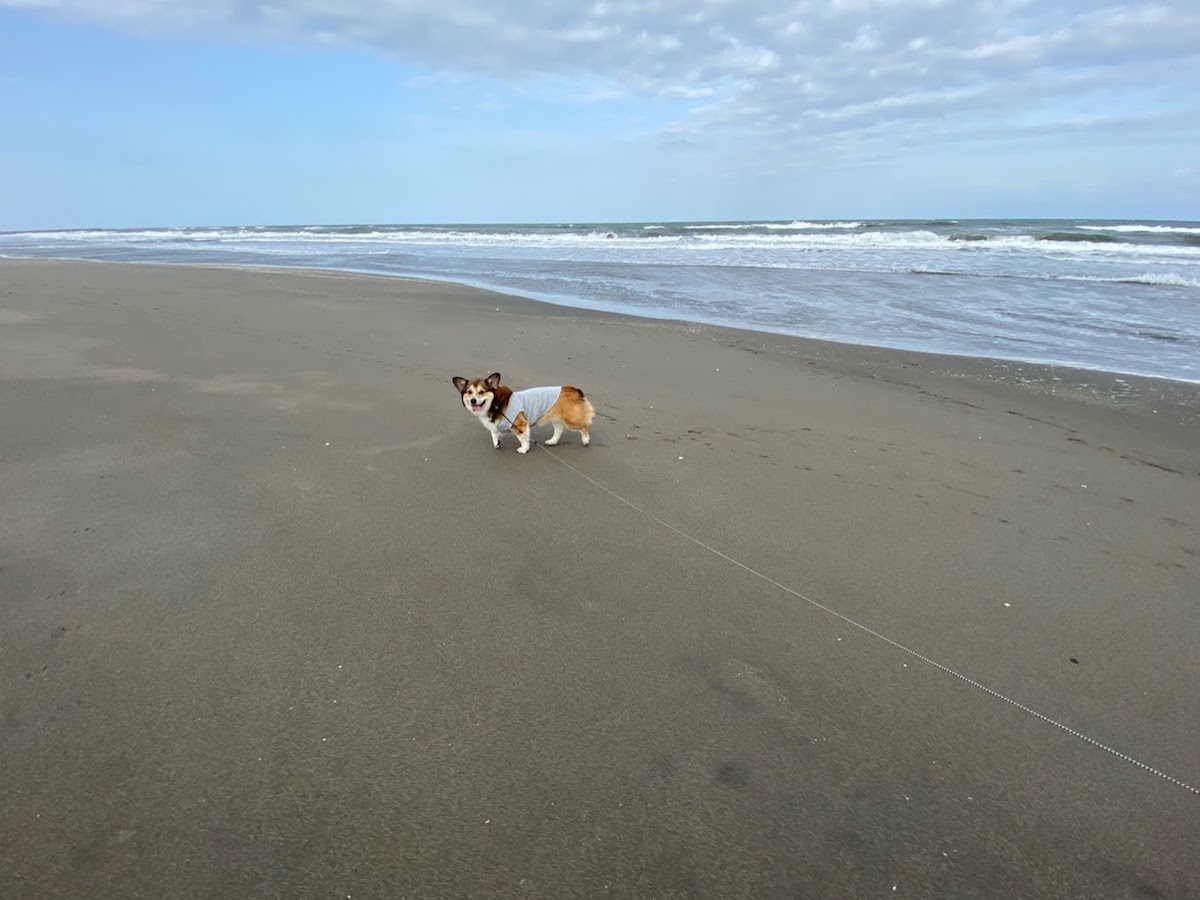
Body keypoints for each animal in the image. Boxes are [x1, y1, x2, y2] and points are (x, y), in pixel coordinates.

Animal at [451, 372, 595, 453]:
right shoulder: (495, 425)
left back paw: (586, 440)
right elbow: (494, 433)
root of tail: (573, 389)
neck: (495, 404)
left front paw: (524, 449)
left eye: (481, 392)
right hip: (556, 418)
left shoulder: (519, 425)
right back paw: (552, 441)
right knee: (559, 430)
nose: (473, 401)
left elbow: (523, 439)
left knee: (583, 427)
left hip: (571, 419)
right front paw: (497, 443)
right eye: (469, 392)